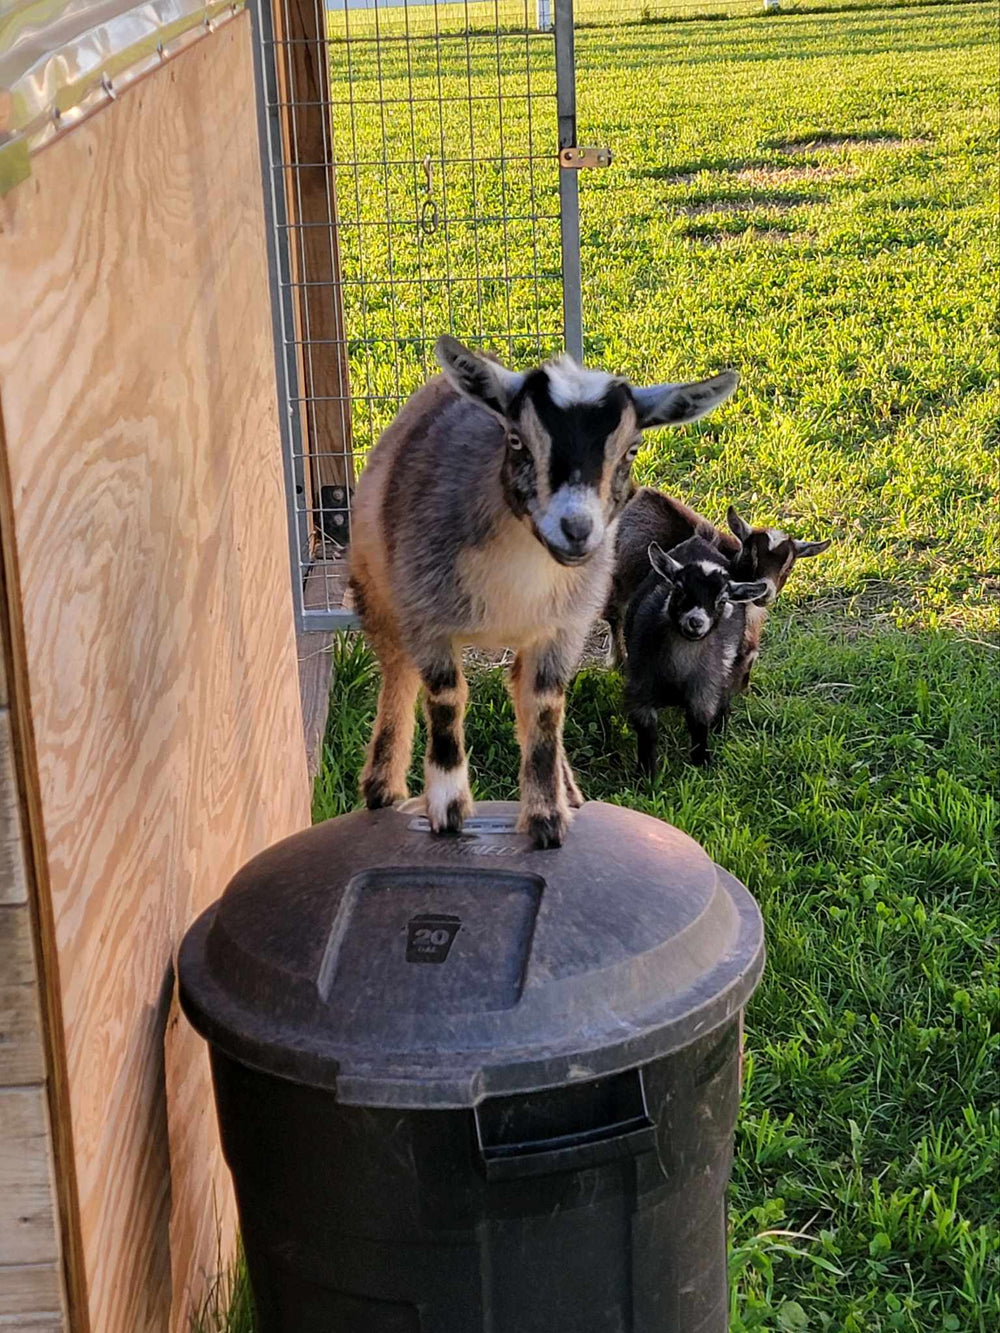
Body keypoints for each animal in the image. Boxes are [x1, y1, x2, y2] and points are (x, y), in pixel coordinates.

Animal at [348, 335, 738, 847]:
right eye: (516, 440)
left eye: (631, 450)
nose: (577, 529)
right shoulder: (426, 613)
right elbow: (446, 700)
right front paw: (448, 809)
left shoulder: (563, 629)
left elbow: (545, 708)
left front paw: (548, 816)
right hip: (376, 589)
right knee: (397, 672)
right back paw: (383, 787)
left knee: (519, 686)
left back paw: (568, 790)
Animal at [623, 537, 768, 771]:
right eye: (679, 589)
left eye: (722, 600)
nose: (696, 622)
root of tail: (699, 542)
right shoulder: (641, 686)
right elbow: (647, 730)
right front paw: (647, 773)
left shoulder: (704, 688)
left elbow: (699, 724)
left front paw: (702, 764)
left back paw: (721, 728)